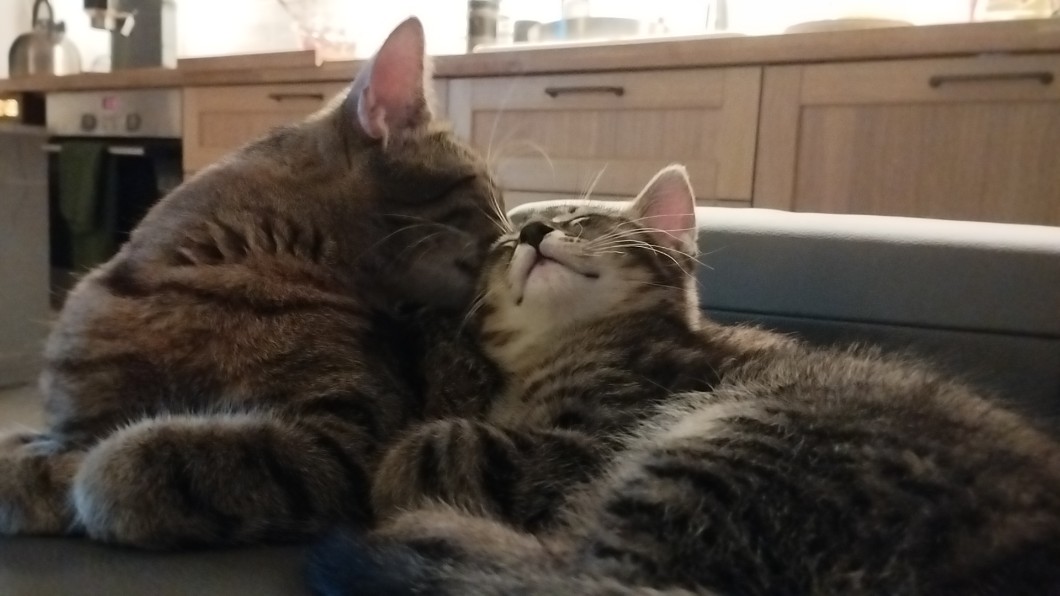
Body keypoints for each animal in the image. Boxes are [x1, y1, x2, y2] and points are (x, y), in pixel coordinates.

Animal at [0, 17, 506, 549]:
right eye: (487, 187)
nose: (512, 233)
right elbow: (43, 453)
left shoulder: (351, 440)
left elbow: (145, 462)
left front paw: (91, 474)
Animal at [309, 165, 1060, 595]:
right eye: (500, 246)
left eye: (582, 219)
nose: (534, 233)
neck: (578, 340)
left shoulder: (586, 442)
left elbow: (440, 444)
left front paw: (393, 470)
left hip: (726, 441)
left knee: (586, 575)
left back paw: (413, 540)